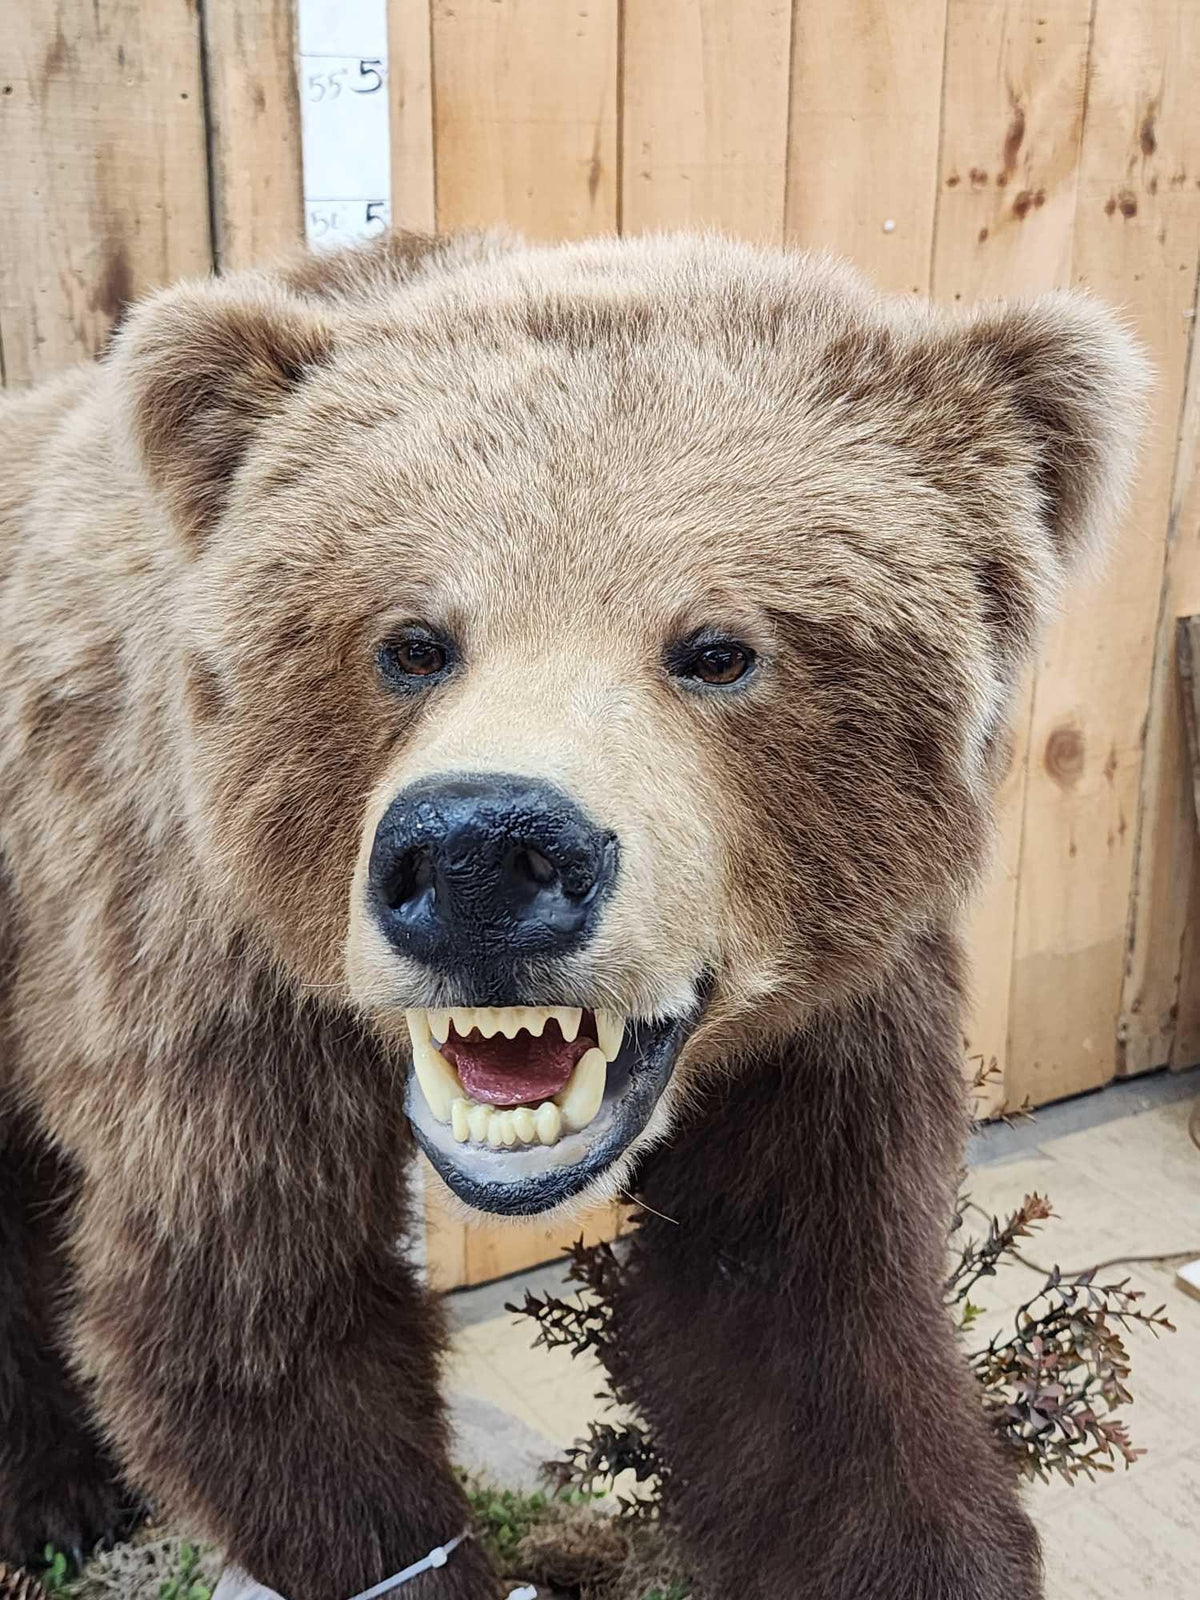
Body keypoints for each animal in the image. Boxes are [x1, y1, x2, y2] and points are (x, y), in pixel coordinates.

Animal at [0, 228, 1146, 1600]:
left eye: (718, 647)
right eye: (411, 640)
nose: (482, 856)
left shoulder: (834, 1005)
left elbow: (802, 1312)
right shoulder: (197, 956)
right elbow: (256, 1316)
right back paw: (58, 1494)